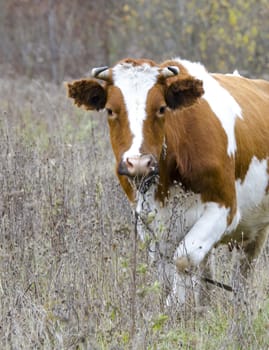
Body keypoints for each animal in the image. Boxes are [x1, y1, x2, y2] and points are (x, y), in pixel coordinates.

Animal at [66, 58, 268, 306]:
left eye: (161, 108)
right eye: (110, 110)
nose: (139, 163)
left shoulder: (225, 207)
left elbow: (183, 258)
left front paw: (175, 307)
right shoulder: (147, 218)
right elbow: (163, 266)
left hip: (255, 229)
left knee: (242, 273)